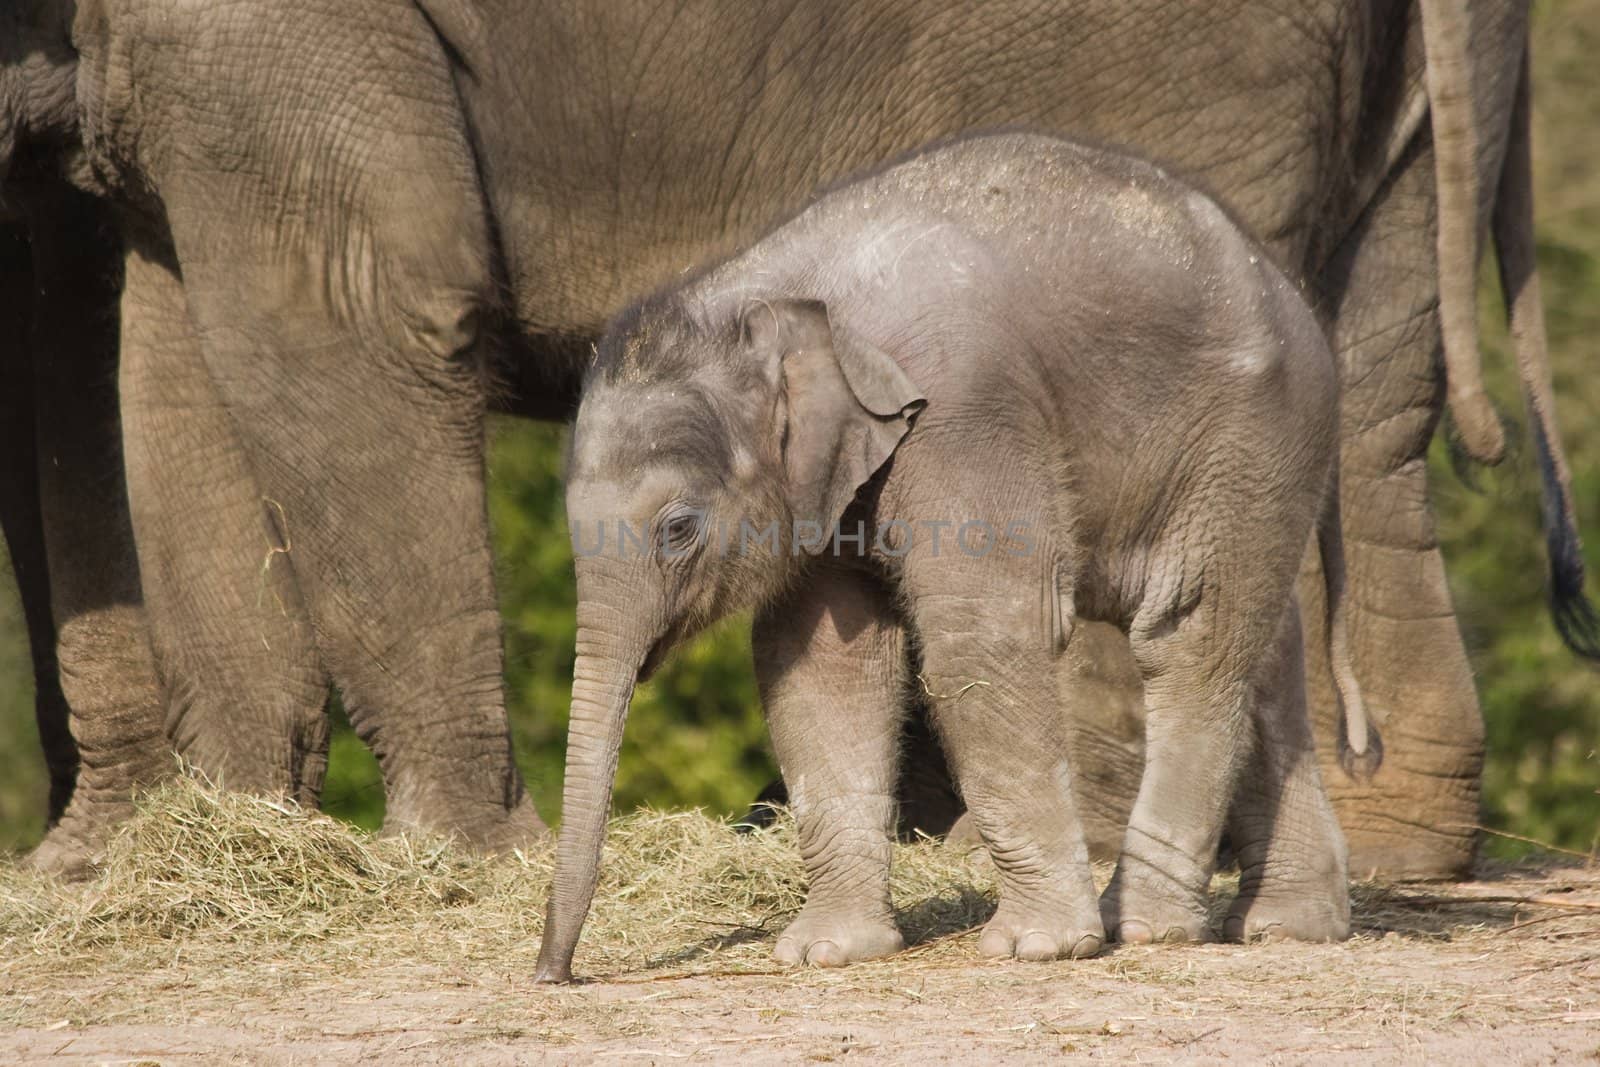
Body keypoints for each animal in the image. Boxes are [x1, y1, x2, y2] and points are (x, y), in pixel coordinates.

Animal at [6, 0, 1587, 876]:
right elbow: (160, 358)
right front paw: (182, 850)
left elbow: (346, 306)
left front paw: (452, 859)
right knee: (1369, 405)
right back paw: (1384, 837)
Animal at [534, 133, 1376, 985]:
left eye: (678, 527)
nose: (554, 973)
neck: (765, 294)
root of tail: (1295, 296)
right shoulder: (830, 485)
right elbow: (819, 662)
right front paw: (826, 951)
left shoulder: (962, 410)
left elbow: (985, 631)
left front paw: (1038, 947)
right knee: (1262, 650)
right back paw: (1287, 925)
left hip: (1248, 438)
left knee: (1186, 635)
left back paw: (1143, 926)